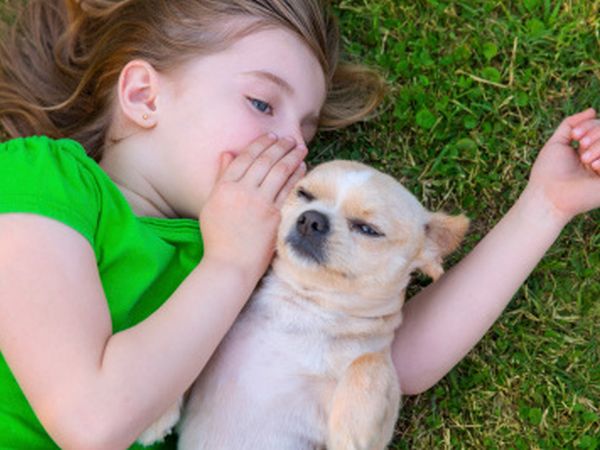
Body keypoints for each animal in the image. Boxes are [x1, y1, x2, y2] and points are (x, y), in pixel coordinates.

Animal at [138, 160, 466, 448]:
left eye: (368, 229)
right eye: (304, 194)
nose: (311, 218)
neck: (304, 307)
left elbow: (369, 361)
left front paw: (351, 429)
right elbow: (185, 357)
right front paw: (156, 414)